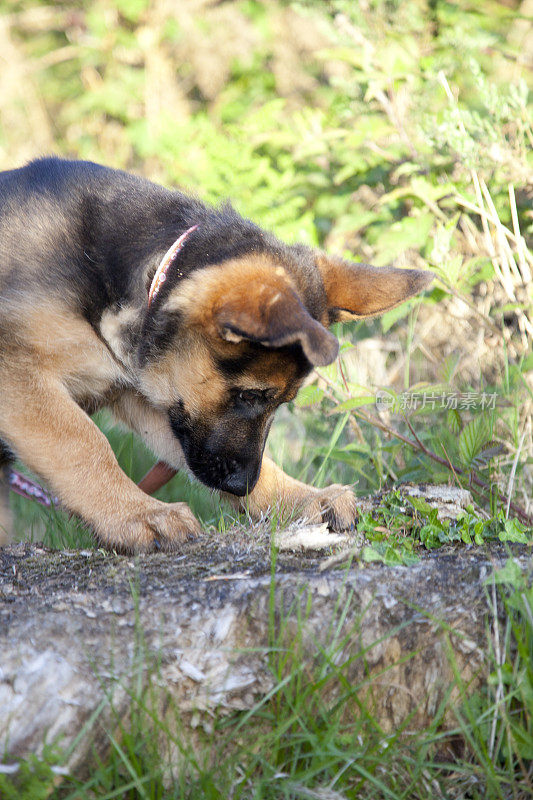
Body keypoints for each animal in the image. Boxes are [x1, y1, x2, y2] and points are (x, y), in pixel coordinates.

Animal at [0, 159, 432, 552]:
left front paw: (298, 496)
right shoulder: (18, 374)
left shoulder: (157, 396)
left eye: (280, 401)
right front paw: (138, 514)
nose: (243, 486)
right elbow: (82, 441)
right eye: (250, 395)